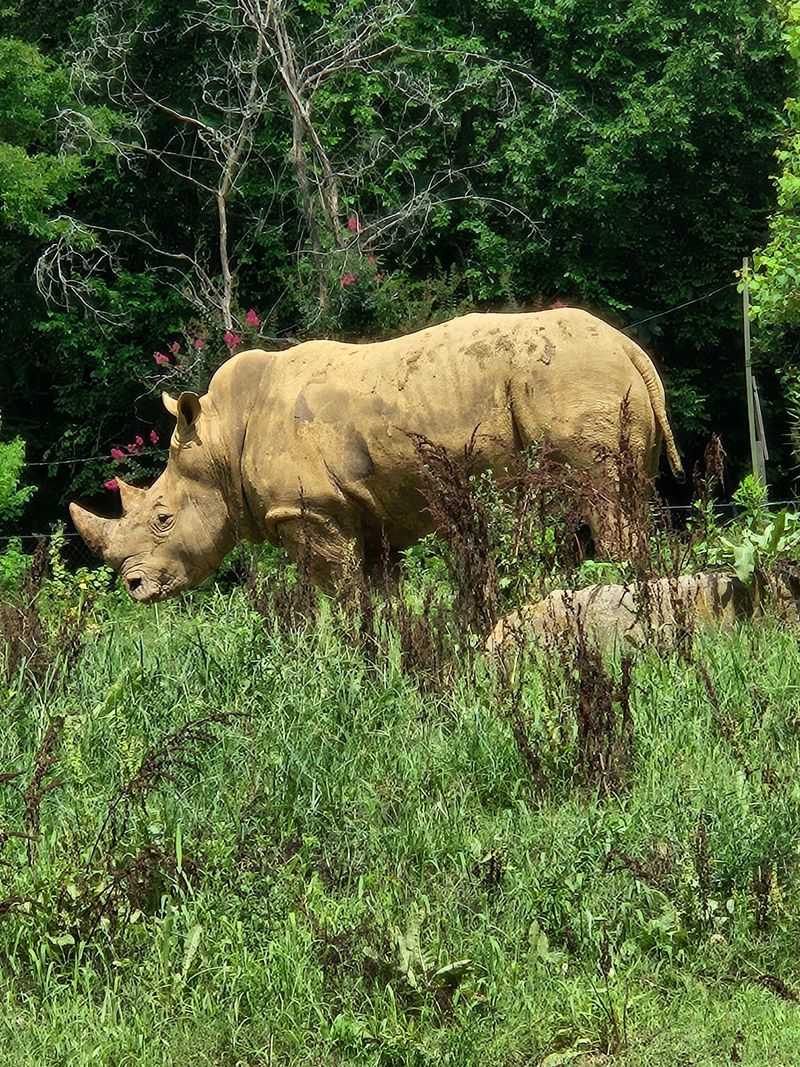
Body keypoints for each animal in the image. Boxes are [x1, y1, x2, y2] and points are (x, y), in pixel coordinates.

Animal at [70, 309, 682, 602]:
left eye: (163, 518)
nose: (133, 588)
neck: (219, 442)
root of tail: (629, 347)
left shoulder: (309, 511)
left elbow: (341, 597)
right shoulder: (369, 517)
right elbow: (381, 595)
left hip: (571, 378)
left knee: (601, 493)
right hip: (593, 379)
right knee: (629, 494)